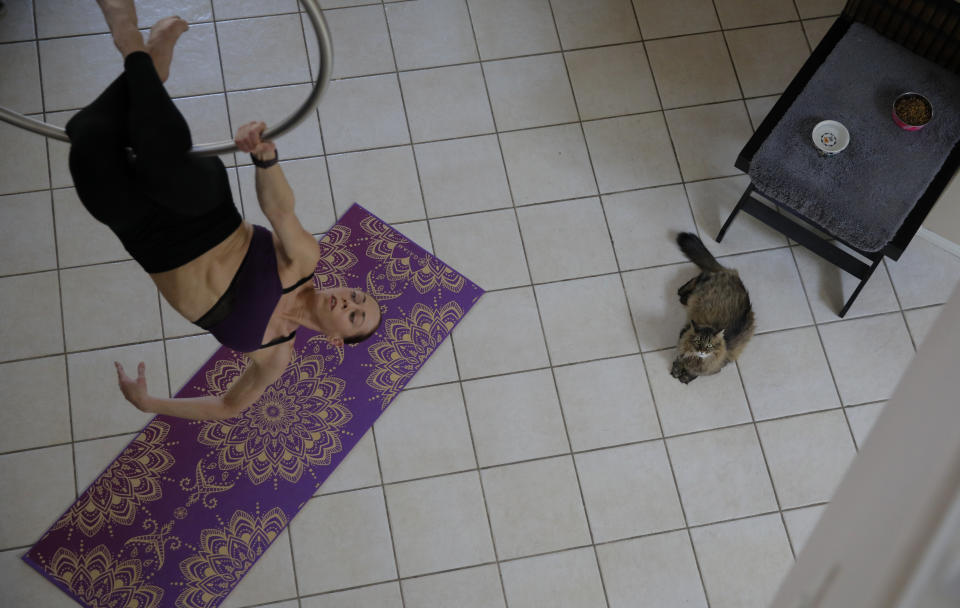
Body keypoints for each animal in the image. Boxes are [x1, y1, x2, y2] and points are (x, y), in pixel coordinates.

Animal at [672, 233, 752, 384]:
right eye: (698, 341)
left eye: (709, 346)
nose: (702, 351)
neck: (696, 359)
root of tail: (732, 273)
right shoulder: (682, 336)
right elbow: (680, 357)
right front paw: (677, 370)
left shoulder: (717, 366)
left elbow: (697, 373)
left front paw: (686, 376)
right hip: (702, 285)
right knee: (699, 277)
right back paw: (682, 293)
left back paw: (683, 297)